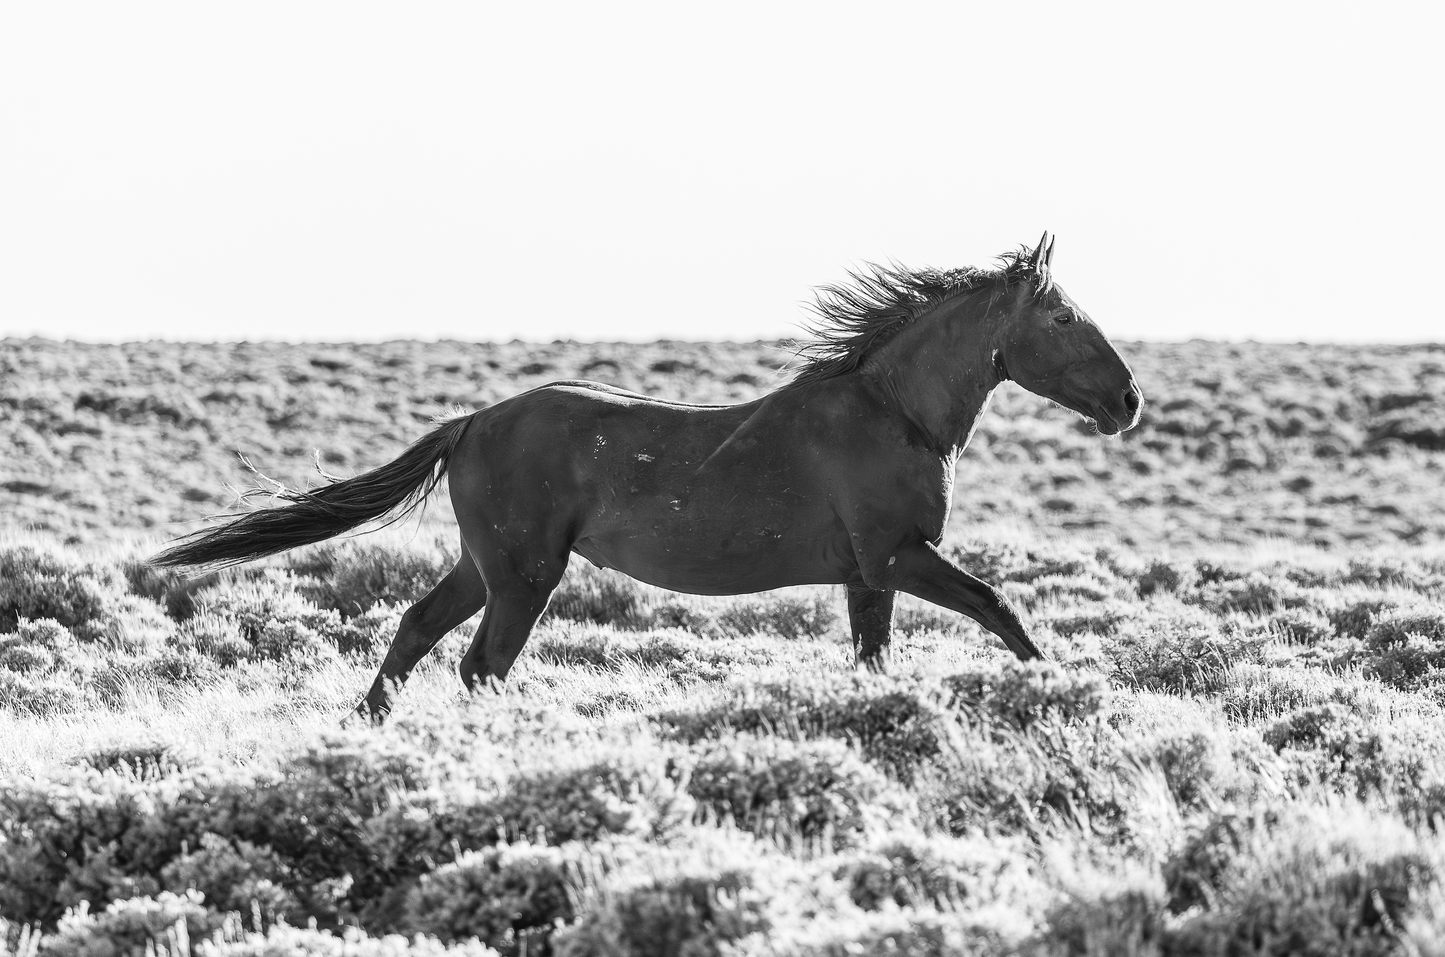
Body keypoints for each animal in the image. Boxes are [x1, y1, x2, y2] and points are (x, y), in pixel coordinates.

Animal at [153, 233, 1143, 720]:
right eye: (1060, 316)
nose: (1127, 400)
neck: (891, 413)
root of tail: (473, 422)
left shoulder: (871, 575)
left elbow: (876, 659)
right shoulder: (900, 555)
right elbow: (1001, 609)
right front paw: (1065, 691)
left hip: (487, 566)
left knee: (417, 629)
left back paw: (370, 731)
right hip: (525, 575)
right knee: (481, 664)